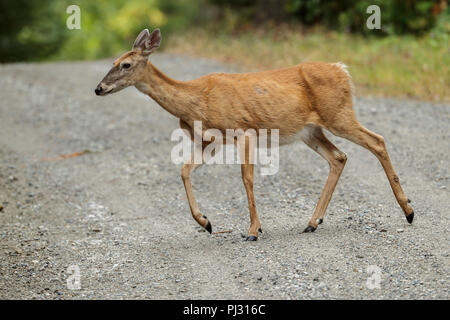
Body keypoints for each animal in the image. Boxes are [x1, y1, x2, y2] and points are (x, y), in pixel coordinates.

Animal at [95, 28, 414, 241]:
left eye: (125, 64)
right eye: (112, 61)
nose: (98, 88)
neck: (196, 99)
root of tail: (342, 69)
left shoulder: (243, 130)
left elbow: (246, 178)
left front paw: (253, 230)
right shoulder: (211, 141)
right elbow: (185, 169)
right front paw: (206, 222)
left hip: (338, 114)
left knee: (377, 140)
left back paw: (408, 210)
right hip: (310, 131)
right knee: (339, 157)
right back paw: (313, 222)